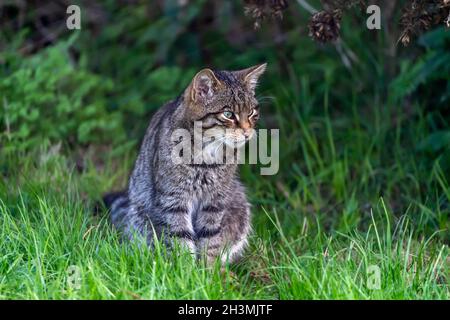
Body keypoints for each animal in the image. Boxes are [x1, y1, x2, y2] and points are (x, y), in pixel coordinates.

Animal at [104, 63, 268, 264]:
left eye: (252, 112)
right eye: (228, 114)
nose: (247, 132)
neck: (206, 156)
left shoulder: (215, 201)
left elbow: (210, 240)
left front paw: (208, 270)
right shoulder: (173, 200)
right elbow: (180, 238)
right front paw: (186, 269)